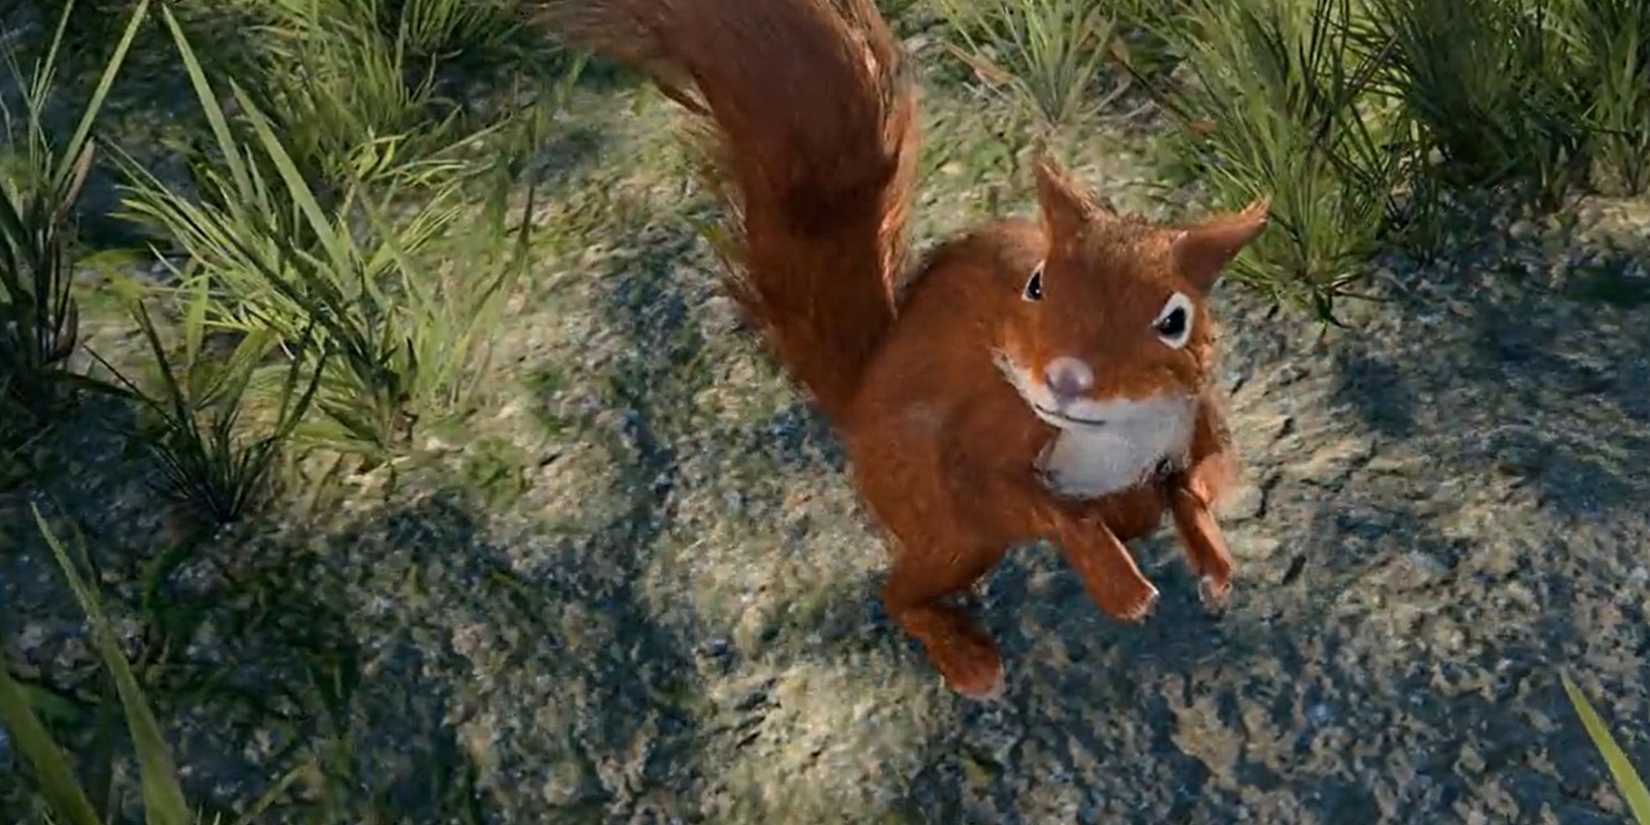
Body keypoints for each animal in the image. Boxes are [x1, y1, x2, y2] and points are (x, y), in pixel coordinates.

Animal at [532, 0, 1269, 700]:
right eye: (1036, 285)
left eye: (1175, 319)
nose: (1066, 378)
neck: (1112, 435)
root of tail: (858, 401)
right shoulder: (988, 433)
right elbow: (1021, 500)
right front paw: (1121, 585)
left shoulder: (1195, 414)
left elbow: (1203, 478)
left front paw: (1214, 559)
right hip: (937, 524)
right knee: (902, 588)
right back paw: (967, 656)